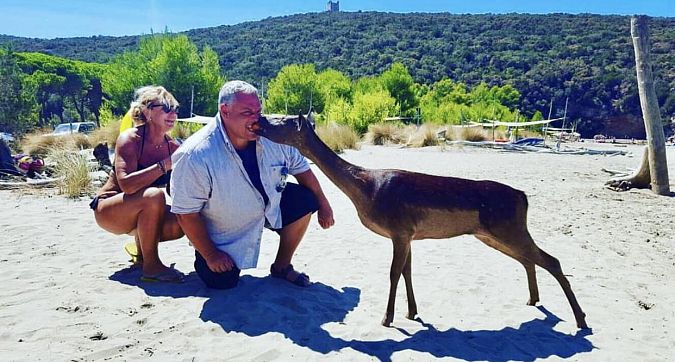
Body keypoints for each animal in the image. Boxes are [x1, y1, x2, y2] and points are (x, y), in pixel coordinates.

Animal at [251, 114, 588, 330]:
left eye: (282, 121)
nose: (260, 121)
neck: (366, 190)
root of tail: (523, 197)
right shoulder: (409, 234)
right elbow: (407, 272)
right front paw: (412, 313)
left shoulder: (399, 229)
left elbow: (393, 273)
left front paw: (387, 318)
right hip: (493, 234)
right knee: (530, 259)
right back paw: (534, 301)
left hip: (507, 228)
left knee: (552, 260)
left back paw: (581, 320)